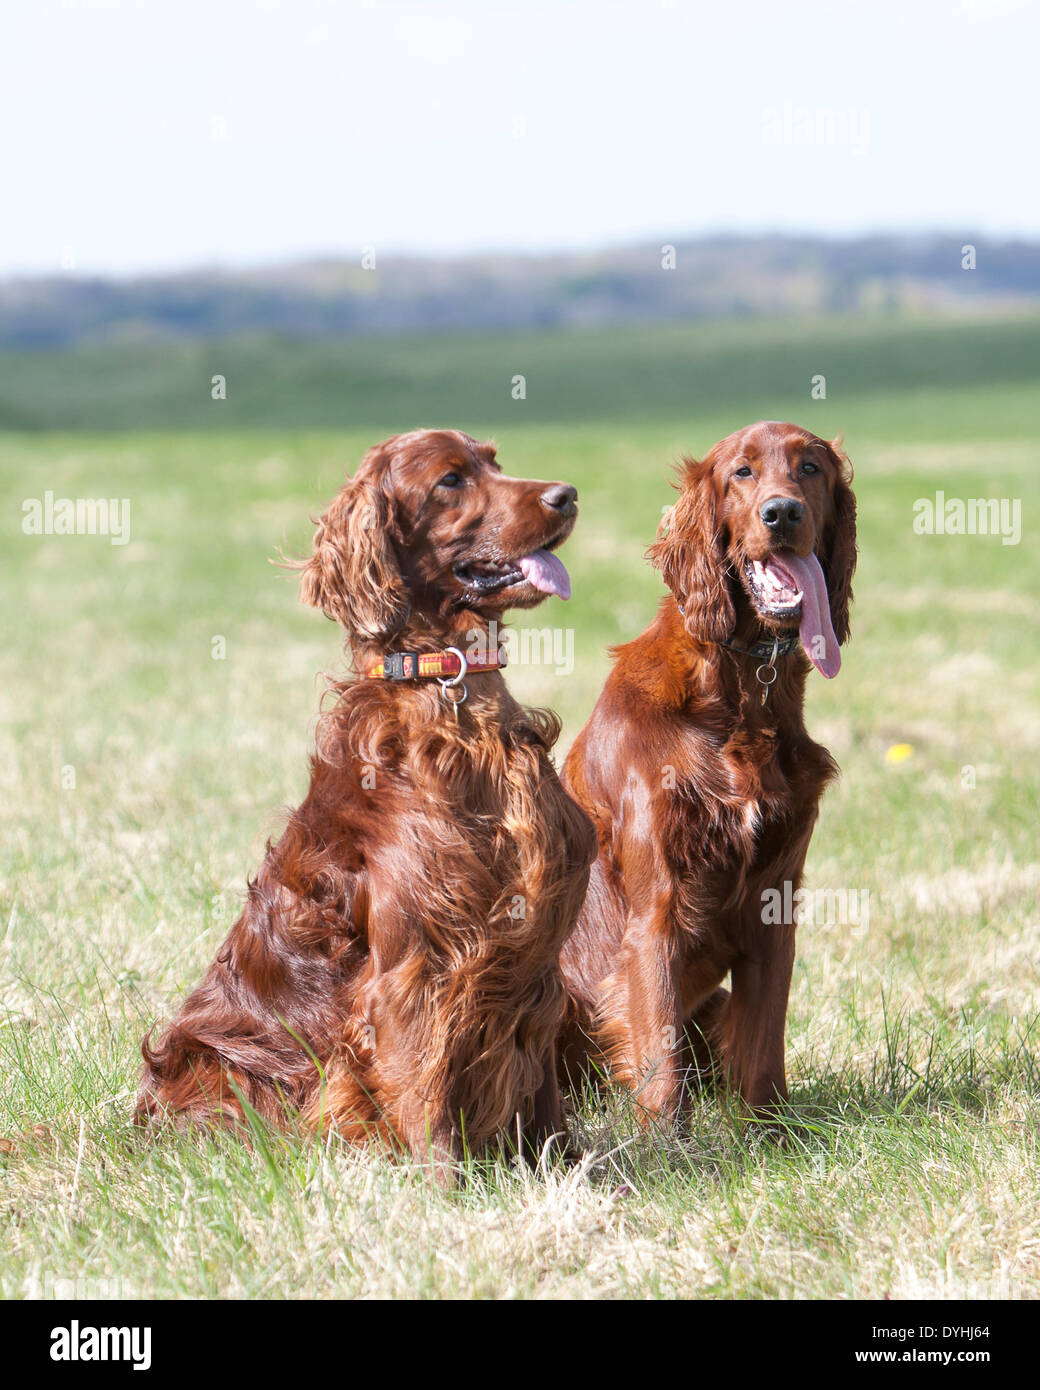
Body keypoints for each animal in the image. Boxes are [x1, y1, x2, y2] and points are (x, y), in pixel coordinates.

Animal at [136, 425, 592, 1173]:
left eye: (495, 461)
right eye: (450, 480)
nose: (567, 494)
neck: (451, 699)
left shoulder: (536, 958)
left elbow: (545, 1096)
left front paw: (567, 1172)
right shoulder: (417, 964)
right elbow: (422, 1093)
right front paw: (443, 1190)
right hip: (224, 1063)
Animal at [556, 419, 856, 1117]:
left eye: (810, 468)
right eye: (741, 473)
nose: (782, 514)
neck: (738, 697)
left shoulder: (775, 908)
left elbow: (763, 1052)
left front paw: (771, 1135)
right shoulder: (656, 914)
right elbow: (660, 1063)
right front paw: (664, 1144)